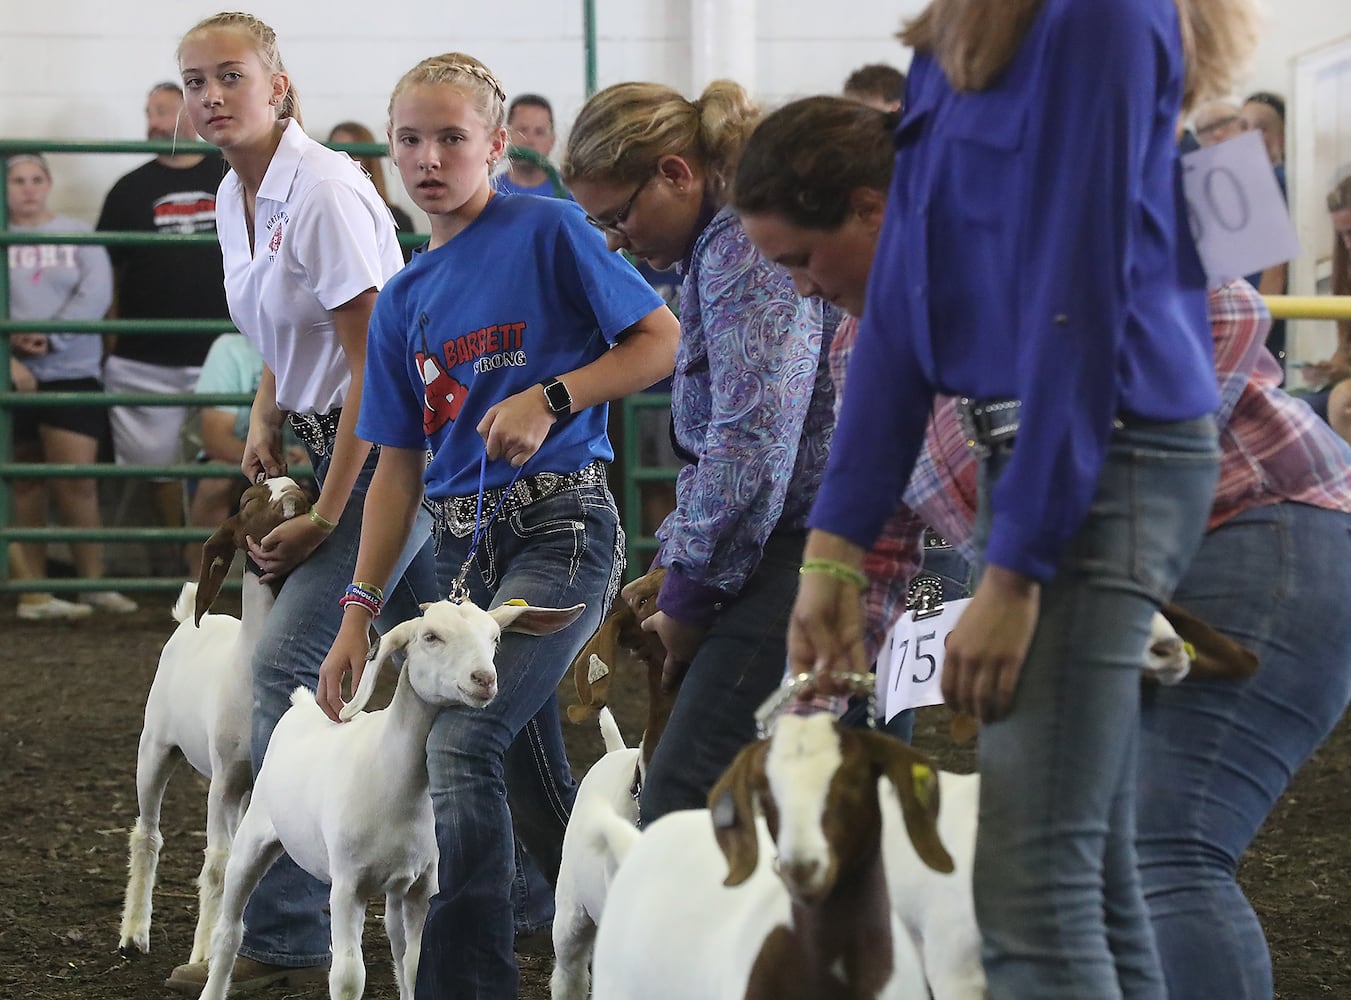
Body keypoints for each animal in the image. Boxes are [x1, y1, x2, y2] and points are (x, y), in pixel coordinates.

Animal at [198, 597, 586, 994]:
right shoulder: (347, 885)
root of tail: (302, 706)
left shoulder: (421, 885)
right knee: (229, 930)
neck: (397, 783)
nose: (485, 679)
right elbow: (348, 976)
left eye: (495, 639)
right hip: (252, 838)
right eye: (431, 637)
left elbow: (414, 963)